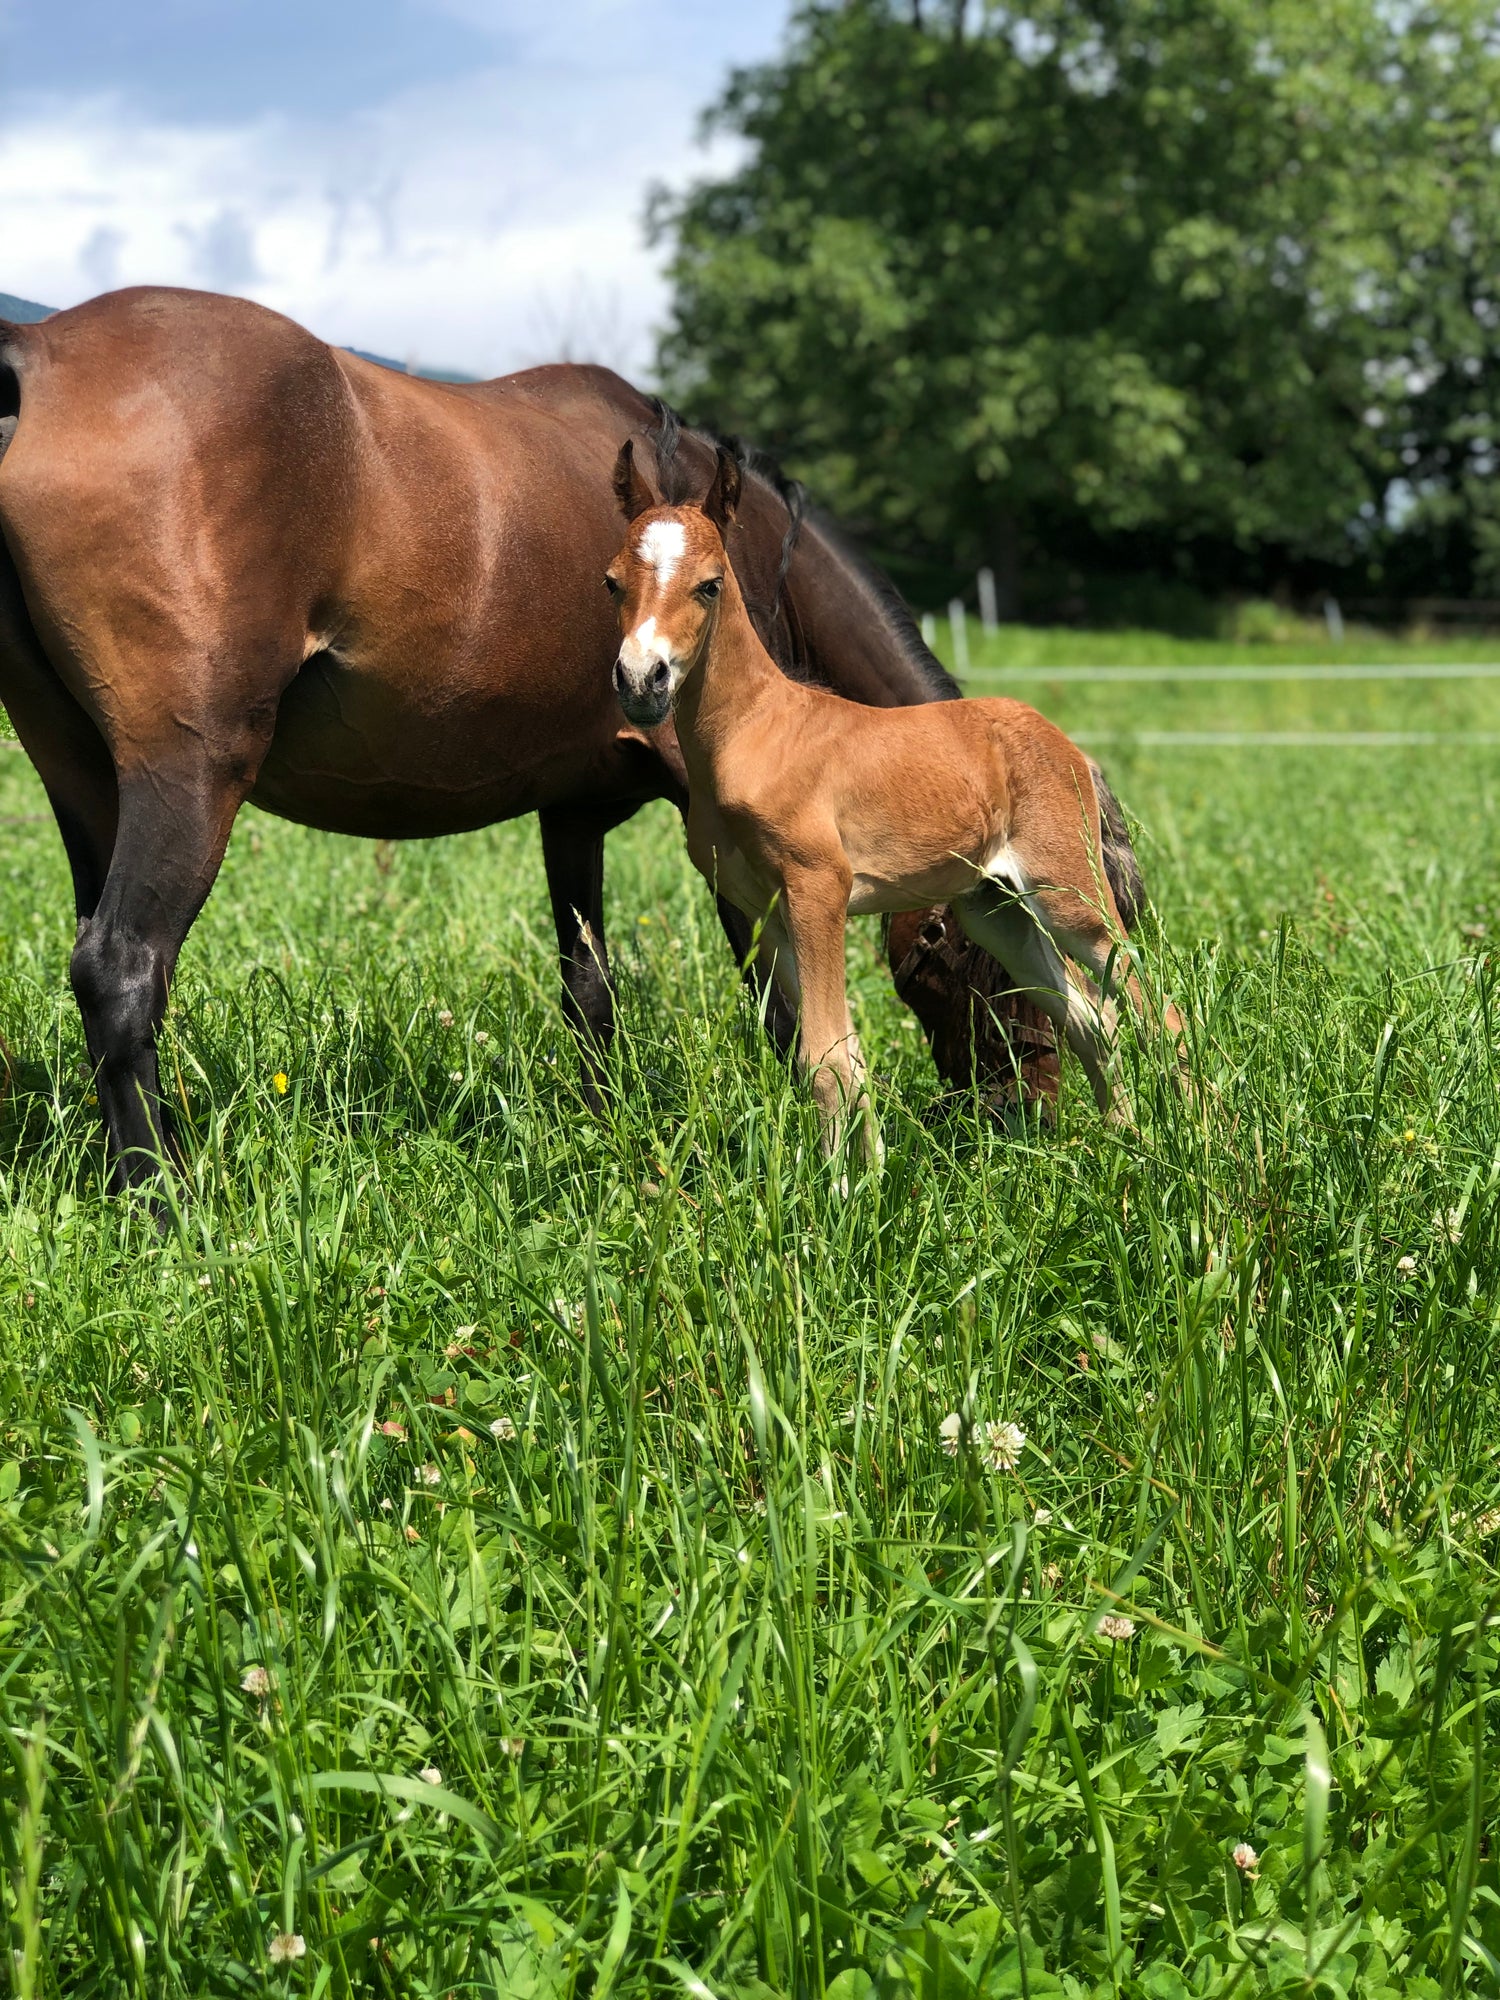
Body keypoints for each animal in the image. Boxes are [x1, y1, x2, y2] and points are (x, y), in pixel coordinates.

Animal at [0, 284, 1103, 1186]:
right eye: (989, 957)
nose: (1031, 1120)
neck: (723, 555)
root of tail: (40, 352)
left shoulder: (572, 817)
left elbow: (590, 989)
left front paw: (606, 1130)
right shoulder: (731, 835)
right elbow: (781, 1002)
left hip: (86, 781)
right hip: (189, 773)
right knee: (123, 968)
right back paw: (167, 1205)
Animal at [607, 442, 1180, 1160]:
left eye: (709, 584)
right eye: (612, 582)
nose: (640, 680)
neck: (755, 732)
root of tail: (1068, 745)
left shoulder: (818, 892)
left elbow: (827, 1055)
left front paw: (846, 1185)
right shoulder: (767, 912)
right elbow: (834, 1057)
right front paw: (861, 1178)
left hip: (1068, 896)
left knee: (1154, 1007)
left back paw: (1200, 1138)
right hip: (997, 912)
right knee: (1090, 1018)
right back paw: (1121, 1141)